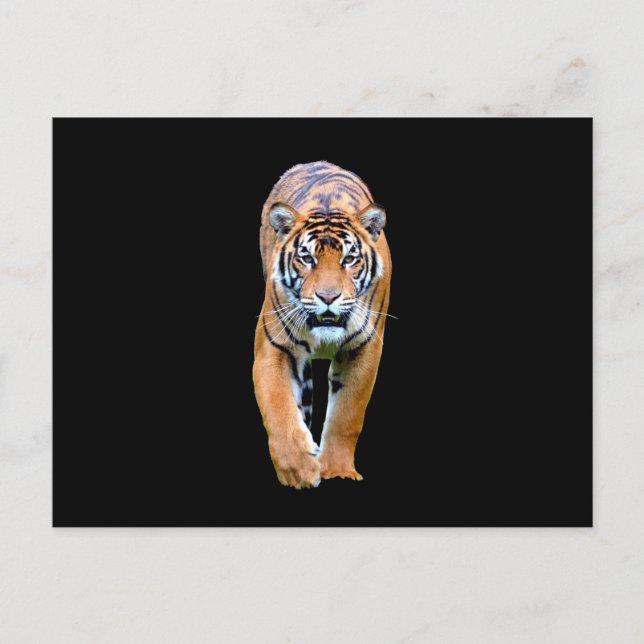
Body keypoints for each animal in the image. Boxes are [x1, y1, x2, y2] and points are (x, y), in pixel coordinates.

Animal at [253, 161, 392, 489]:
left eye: (349, 259)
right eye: (307, 258)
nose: (328, 297)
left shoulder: (364, 349)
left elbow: (346, 415)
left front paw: (339, 471)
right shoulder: (274, 346)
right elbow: (278, 407)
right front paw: (299, 469)